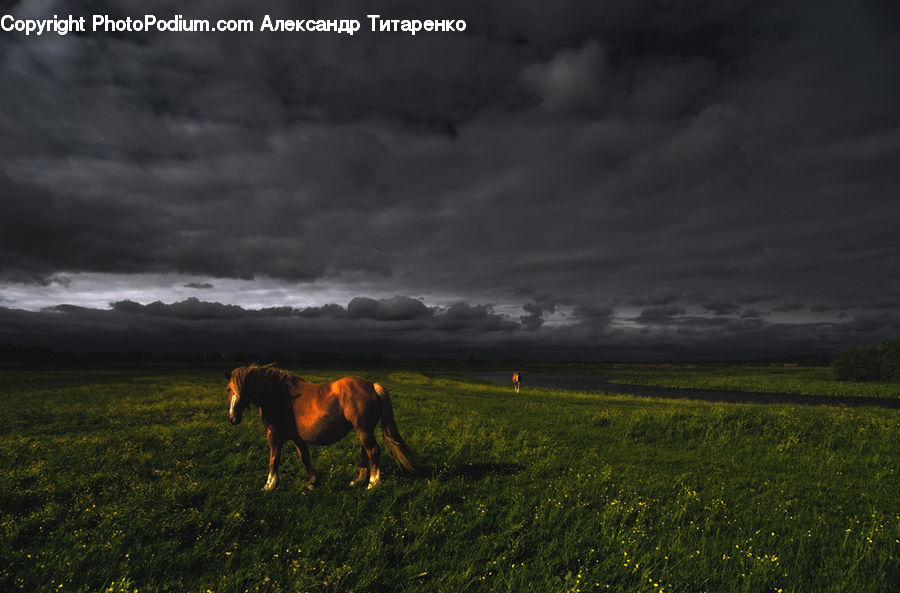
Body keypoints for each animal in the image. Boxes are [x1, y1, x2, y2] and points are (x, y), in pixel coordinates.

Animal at [225, 364, 415, 491]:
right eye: (229, 390)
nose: (232, 418)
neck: (278, 394)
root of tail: (372, 386)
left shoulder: (274, 435)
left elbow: (274, 459)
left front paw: (270, 485)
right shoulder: (296, 437)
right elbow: (305, 457)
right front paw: (312, 481)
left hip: (364, 430)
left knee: (373, 451)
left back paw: (373, 483)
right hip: (364, 430)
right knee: (366, 453)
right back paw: (357, 480)